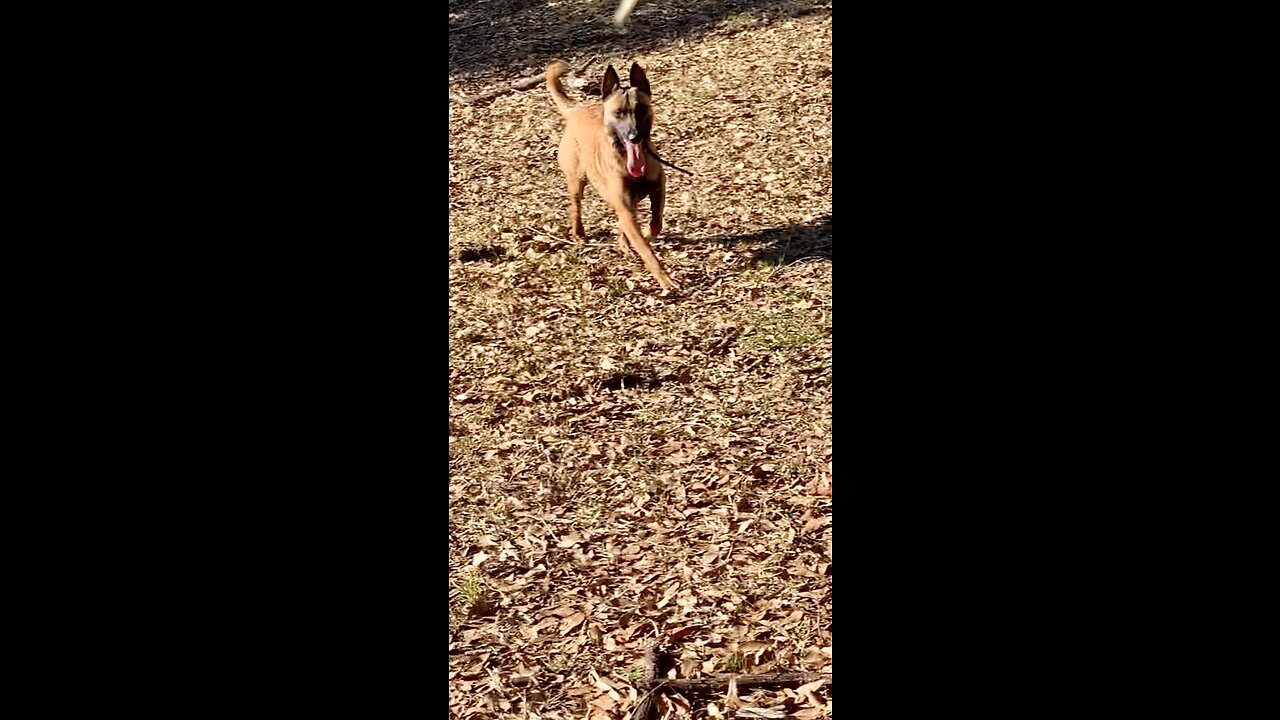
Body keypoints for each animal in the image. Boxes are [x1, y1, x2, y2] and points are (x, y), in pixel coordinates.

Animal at [545, 58, 680, 288]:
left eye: (640, 109)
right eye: (619, 113)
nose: (634, 136)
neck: (627, 159)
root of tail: (576, 109)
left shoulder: (657, 189)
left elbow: (656, 223)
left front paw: (644, 235)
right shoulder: (625, 206)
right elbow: (646, 250)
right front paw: (664, 279)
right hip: (577, 182)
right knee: (575, 208)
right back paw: (579, 234)